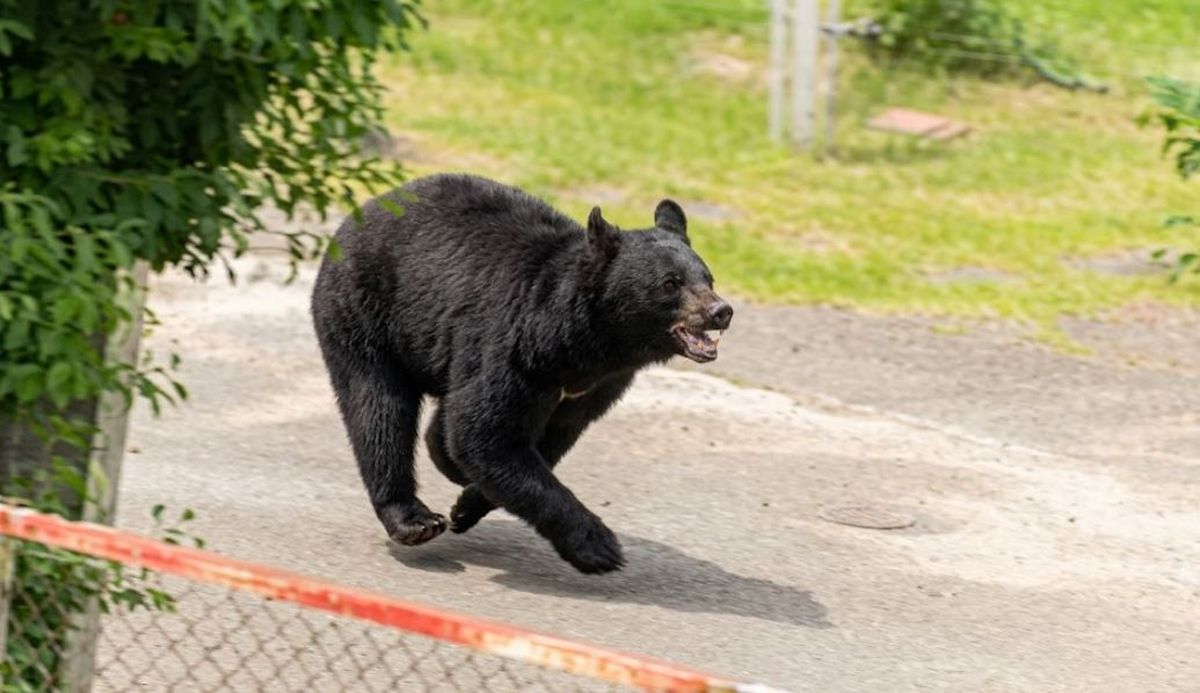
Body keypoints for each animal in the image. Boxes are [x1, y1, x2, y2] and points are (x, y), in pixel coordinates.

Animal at [310, 174, 732, 574]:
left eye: (708, 278)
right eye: (670, 283)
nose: (721, 311)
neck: (586, 344)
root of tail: (366, 207)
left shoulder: (596, 386)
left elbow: (545, 439)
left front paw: (466, 504)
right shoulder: (513, 347)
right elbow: (484, 434)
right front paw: (598, 546)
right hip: (364, 315)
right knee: (379, 411)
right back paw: (413, 519)